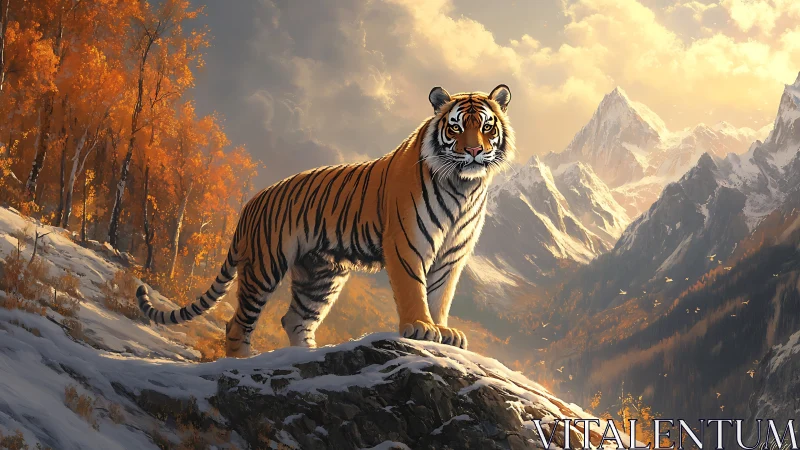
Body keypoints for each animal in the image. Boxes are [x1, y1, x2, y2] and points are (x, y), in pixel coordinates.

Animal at [136, 84, 515, 357]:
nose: (474, 151)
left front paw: (444, 331)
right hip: (264, 266)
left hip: (320, 275)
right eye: (455, 127)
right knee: (238, 324)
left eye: (486, 126)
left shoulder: (452, 255)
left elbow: (441, 294)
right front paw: (420, 326)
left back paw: (305, 357)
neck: (463, 187)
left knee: (295, 320)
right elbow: (413, 288)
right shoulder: (407, 242)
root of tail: (251, 202)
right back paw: (241, 363)